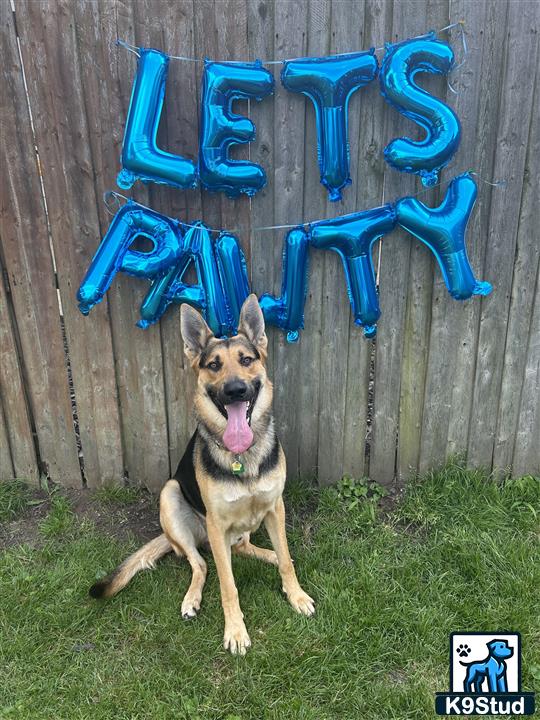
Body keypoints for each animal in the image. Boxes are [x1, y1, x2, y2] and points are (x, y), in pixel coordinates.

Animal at [90, 292, 314, 652]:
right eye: (213, 365)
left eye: (246, 360)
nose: (235, 390)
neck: (242, 455)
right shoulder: (217, 524)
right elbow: (227, 584)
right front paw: (235, 630)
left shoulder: (275, 508)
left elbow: (286, 560)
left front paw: (295, 595)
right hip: (172, 498)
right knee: (201, 563)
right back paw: (191, 598)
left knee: (245, 548)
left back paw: (269, 555)